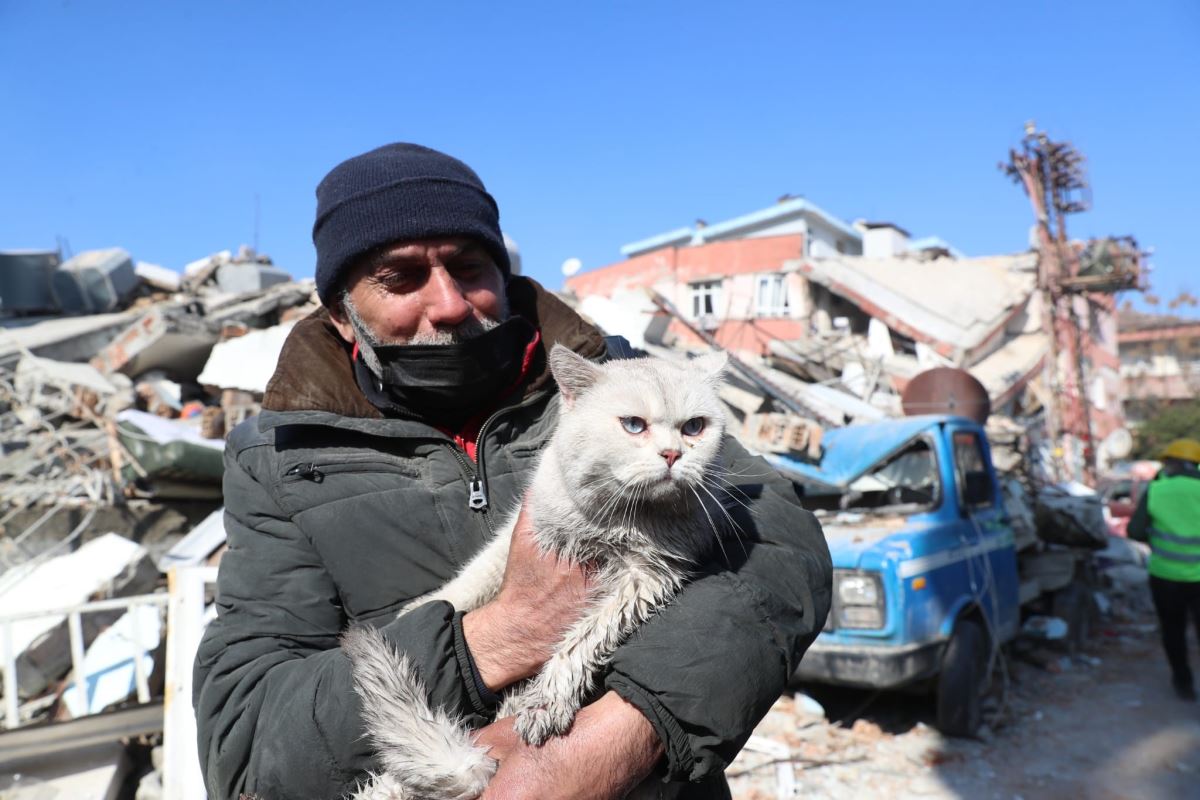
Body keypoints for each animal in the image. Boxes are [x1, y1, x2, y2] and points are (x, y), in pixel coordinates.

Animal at [343, 345, 724, 800]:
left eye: (694, 427)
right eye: (634, 425)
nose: (672, 455)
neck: (615, 521)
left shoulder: (648, 577)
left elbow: (583, 641)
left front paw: (546, 704)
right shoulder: (520, 530)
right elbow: (473, 578)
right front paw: (419, 609)